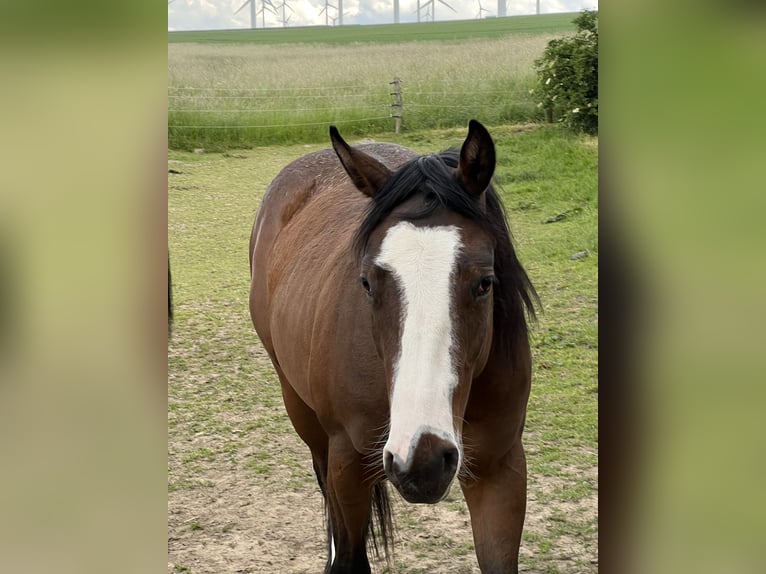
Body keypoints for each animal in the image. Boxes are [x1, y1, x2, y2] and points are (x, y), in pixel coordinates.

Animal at [249, 119, 536, 572]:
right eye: (367, 282)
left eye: (485, 282)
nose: (422, 460)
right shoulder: (348, 464)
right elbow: (349, 555)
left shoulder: (500, 471)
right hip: (306, 418)